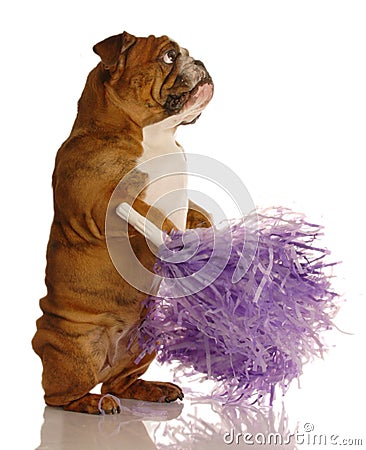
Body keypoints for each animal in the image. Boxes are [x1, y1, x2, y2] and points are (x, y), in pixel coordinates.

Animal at [32, 29, 214, 414]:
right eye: (169, 55)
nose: (200, 61)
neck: (154, 136)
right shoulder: (105, 201)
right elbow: (153, 214)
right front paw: (179, 241)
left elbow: (196, 211)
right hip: (79, 350)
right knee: (57, 397)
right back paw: (91, 402)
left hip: (144, 343)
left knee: (121, 381)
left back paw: (152, 389)